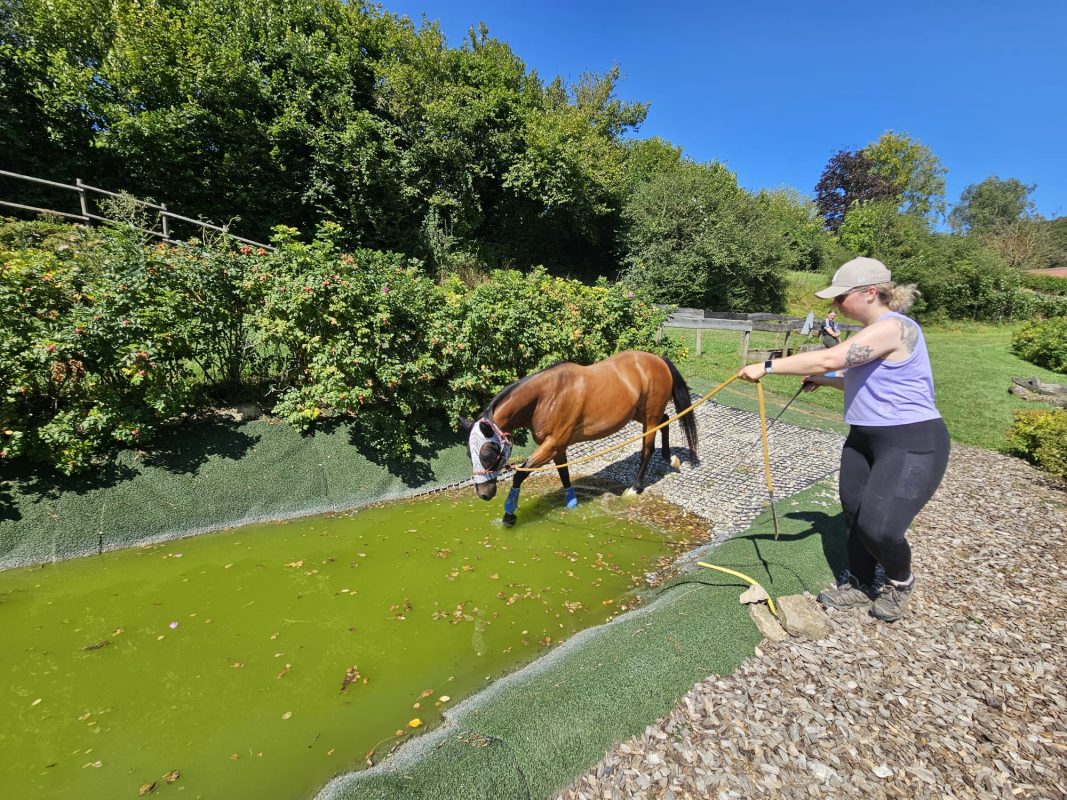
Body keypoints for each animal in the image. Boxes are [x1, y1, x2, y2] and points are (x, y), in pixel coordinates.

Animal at [460, 352, 695, 529]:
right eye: (469, 454)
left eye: (488, 452)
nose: (483, 493)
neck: (546, 397)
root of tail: (658, 360)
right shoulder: (558, 447)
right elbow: (564, 474)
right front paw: (572, 502)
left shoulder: (551, 445)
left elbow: (520, 474)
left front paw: (509, 514)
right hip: (642, 414)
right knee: (665, 421)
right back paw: (670, 458)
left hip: (650, 416)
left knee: (648, 449)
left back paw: (635, 488)